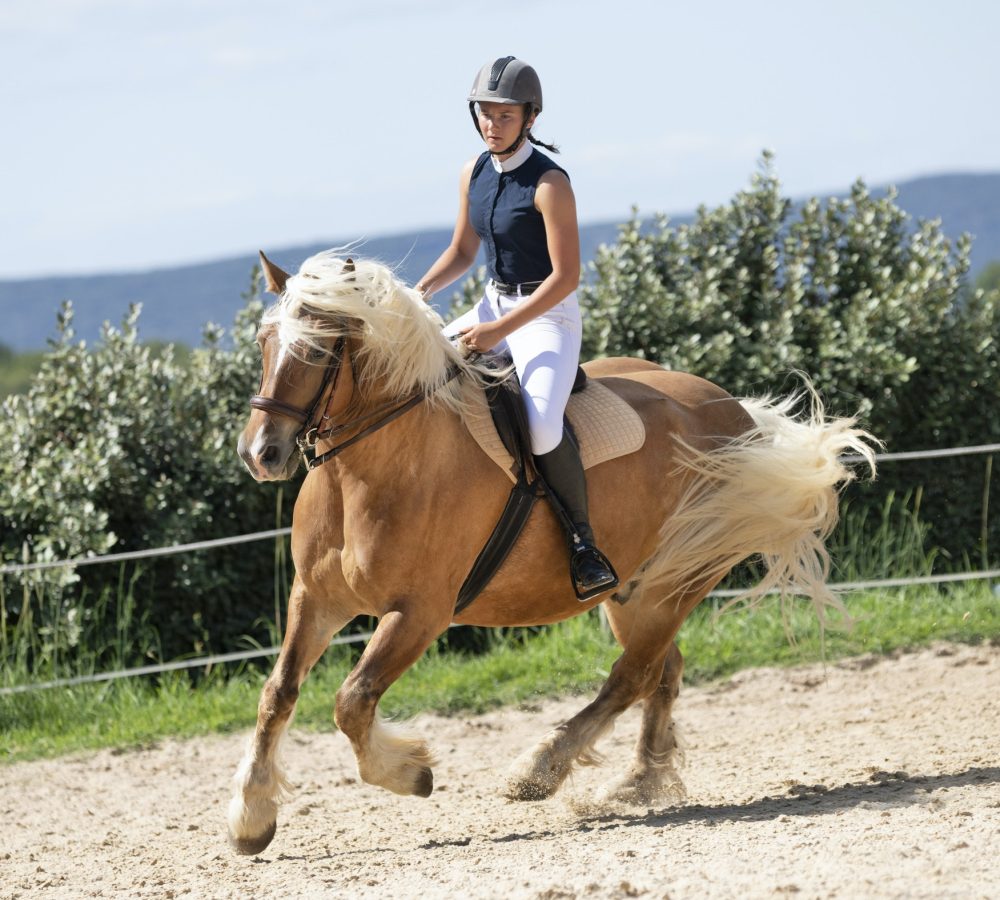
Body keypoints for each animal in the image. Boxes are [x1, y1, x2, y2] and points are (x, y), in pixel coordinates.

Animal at [227, 249, 876, 855]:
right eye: (264, 341)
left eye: (317, 352)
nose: (262, 454)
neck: (374, 467)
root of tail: (734, 411)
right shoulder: (315, 598)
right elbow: (277, 693)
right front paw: (252, 816)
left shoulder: (419, 613)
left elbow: (352, 700)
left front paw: (411, 773)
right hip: (633, 588)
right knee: (661, 671)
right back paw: (640, 780)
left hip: (680, 577)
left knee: (631, 676)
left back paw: (540, 771)